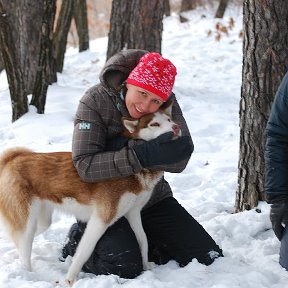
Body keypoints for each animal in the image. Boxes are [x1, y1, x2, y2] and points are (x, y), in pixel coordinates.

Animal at [0, 102, 180, 284]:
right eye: (154, 124)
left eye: (169, 119)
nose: (176, 127)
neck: (137, 166)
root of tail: (13, 158)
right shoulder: (100, 220)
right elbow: (84, 253)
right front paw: (70, 279)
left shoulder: (133, 213)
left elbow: (143, 240)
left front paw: (146, 265)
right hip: (27, 223)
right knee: (24, 247)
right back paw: (28, 275)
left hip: (43, 220)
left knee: (20, 238)